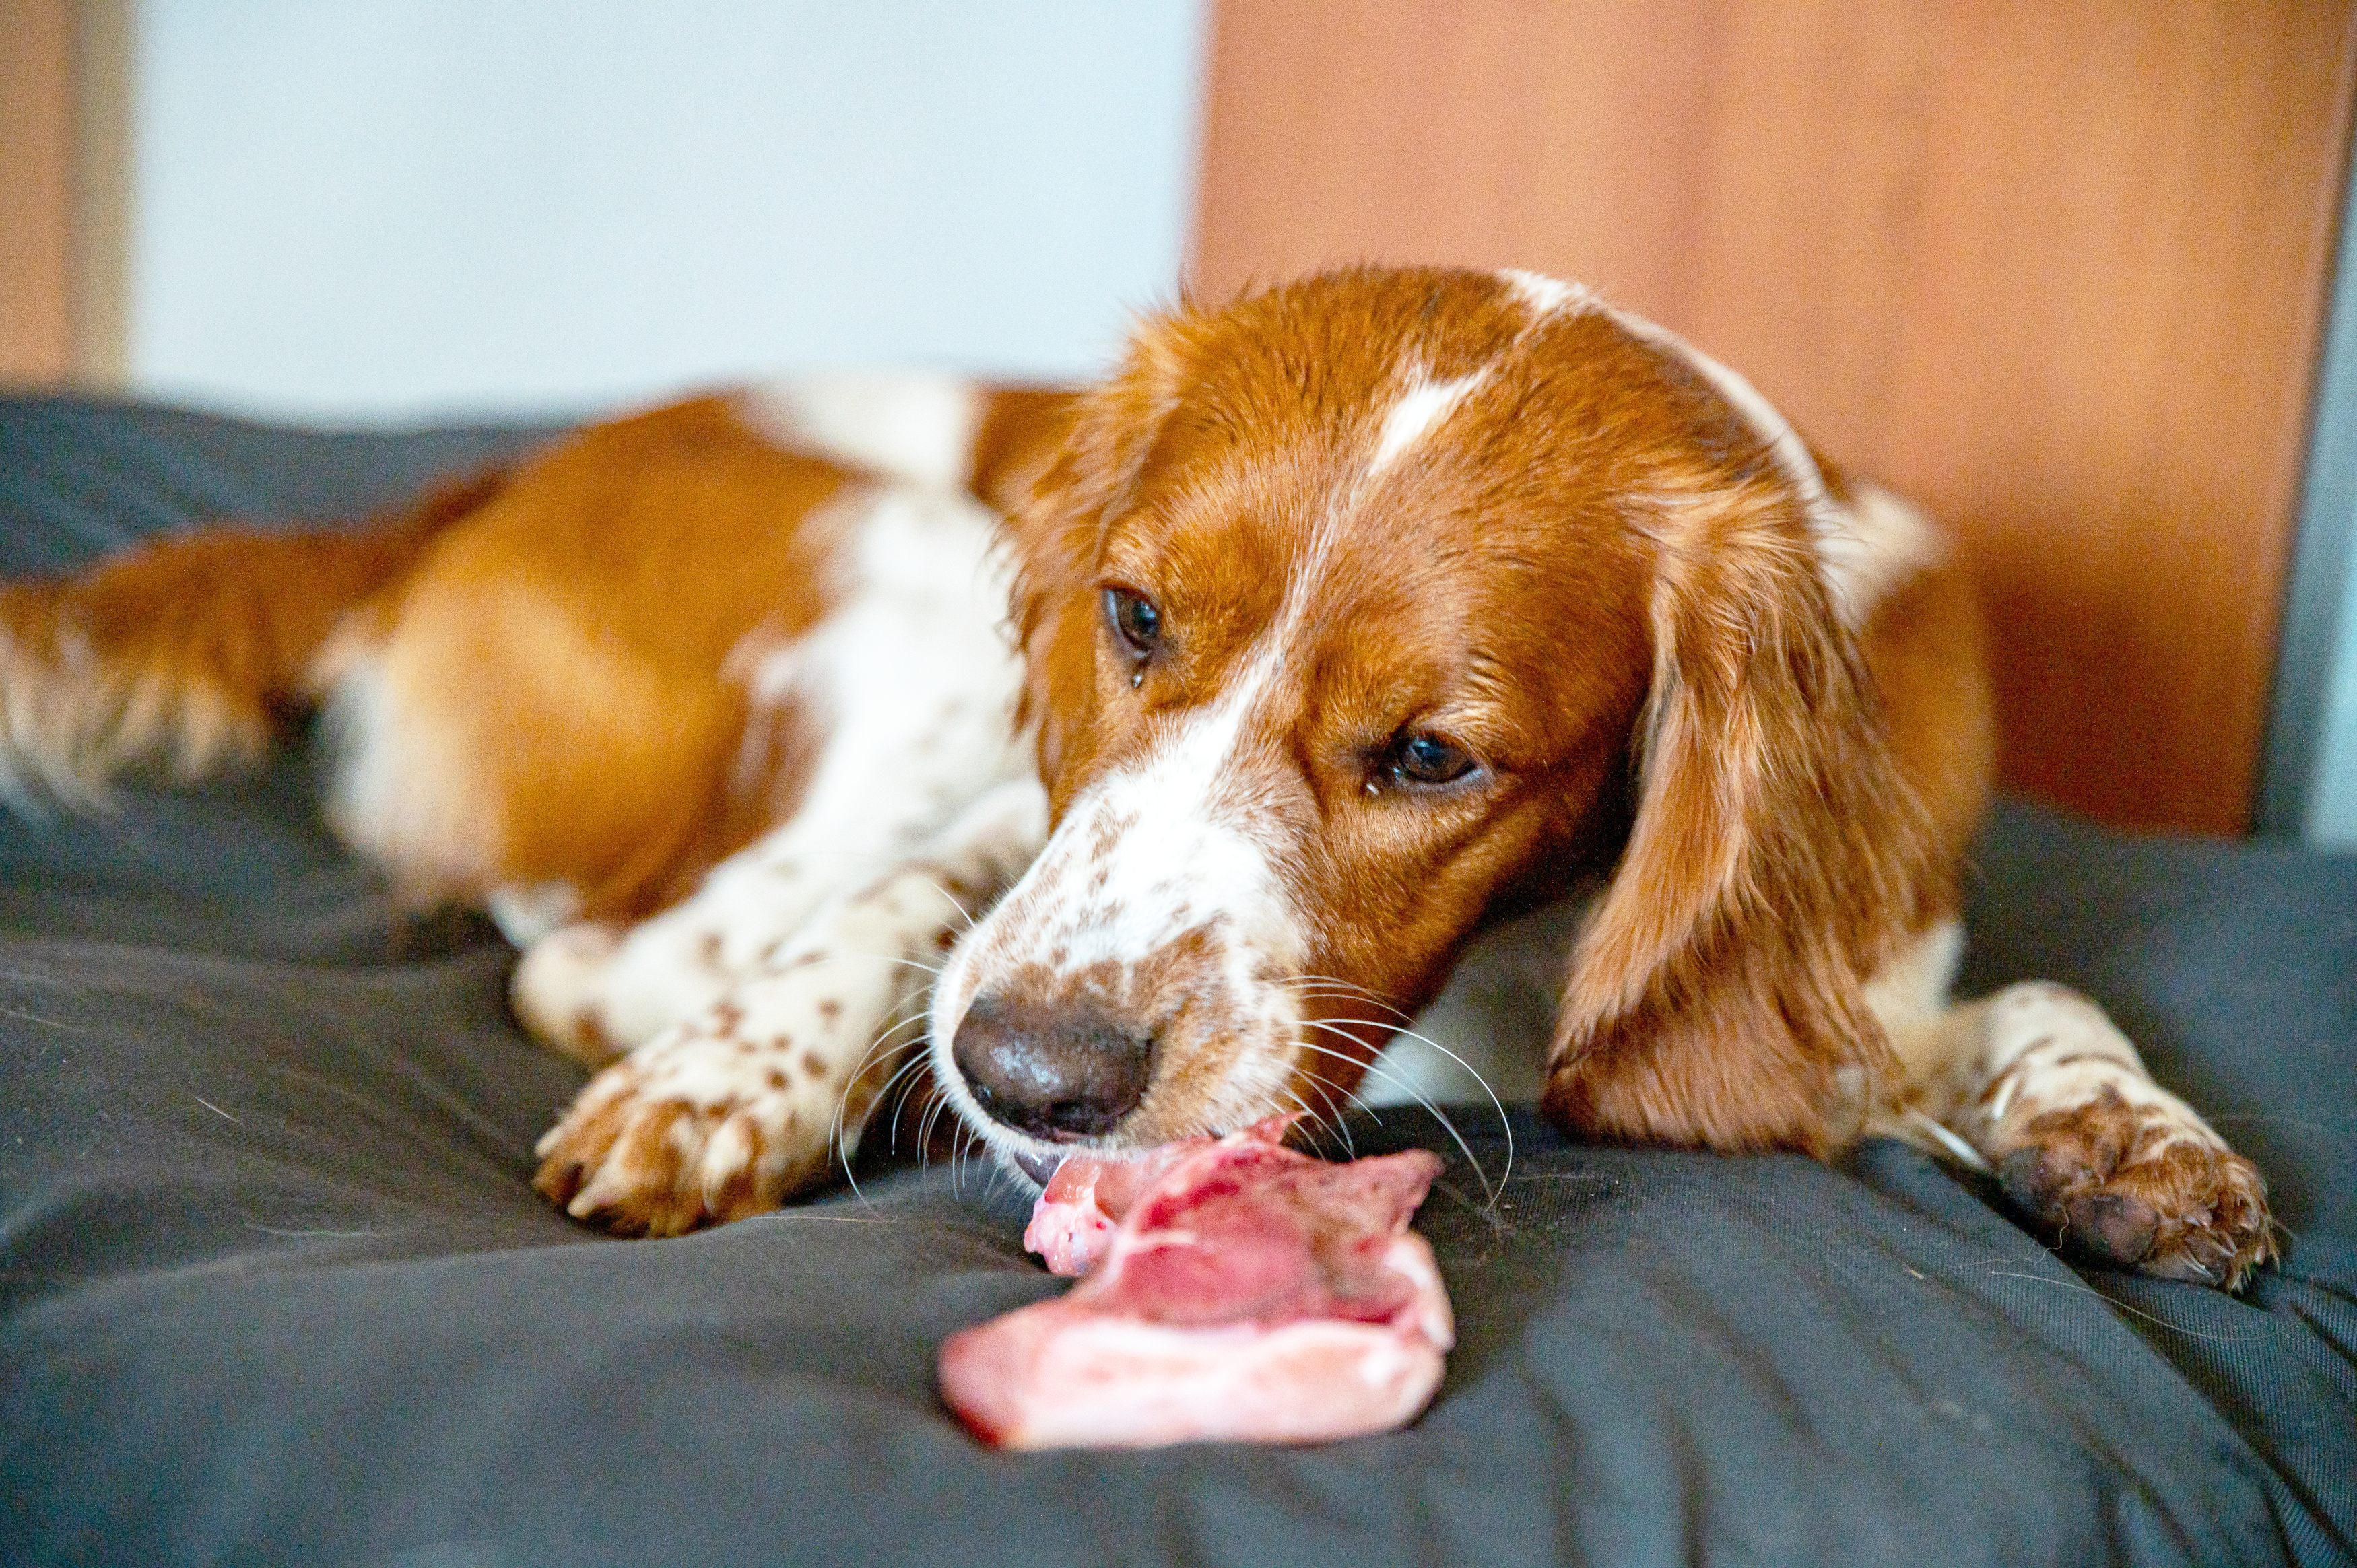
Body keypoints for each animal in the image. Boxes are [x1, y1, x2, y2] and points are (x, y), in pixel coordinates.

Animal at [0, 259, 2282, 1283]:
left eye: (1431, 754)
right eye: (1127, 617)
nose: (1034, 1081)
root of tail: (459, 493)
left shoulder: (1847, 974)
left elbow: (2004, 1001)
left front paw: (2127, 1132)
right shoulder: (1008, 805)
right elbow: (915, 913)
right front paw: (746, 1081)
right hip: (906, 574)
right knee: (602, 948)